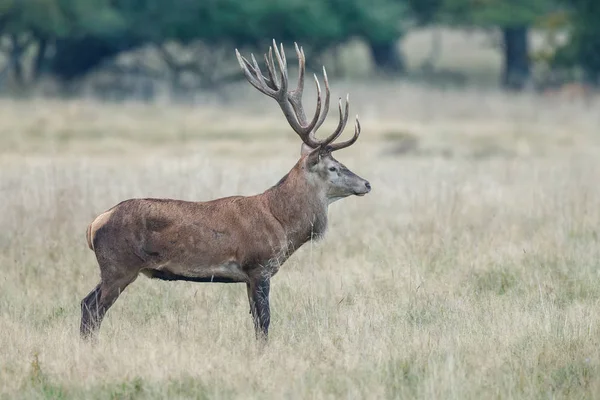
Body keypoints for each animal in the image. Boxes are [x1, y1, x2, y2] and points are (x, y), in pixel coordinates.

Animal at [79, 39, 370, 340]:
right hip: (119, 265)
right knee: (92, 307)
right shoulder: (259, 266)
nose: (366, 183)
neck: (282, 223)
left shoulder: (248, 276)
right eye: (333, 167)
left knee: (86, 303)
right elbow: (264, 322)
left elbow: (256, 320)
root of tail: (94, 224)